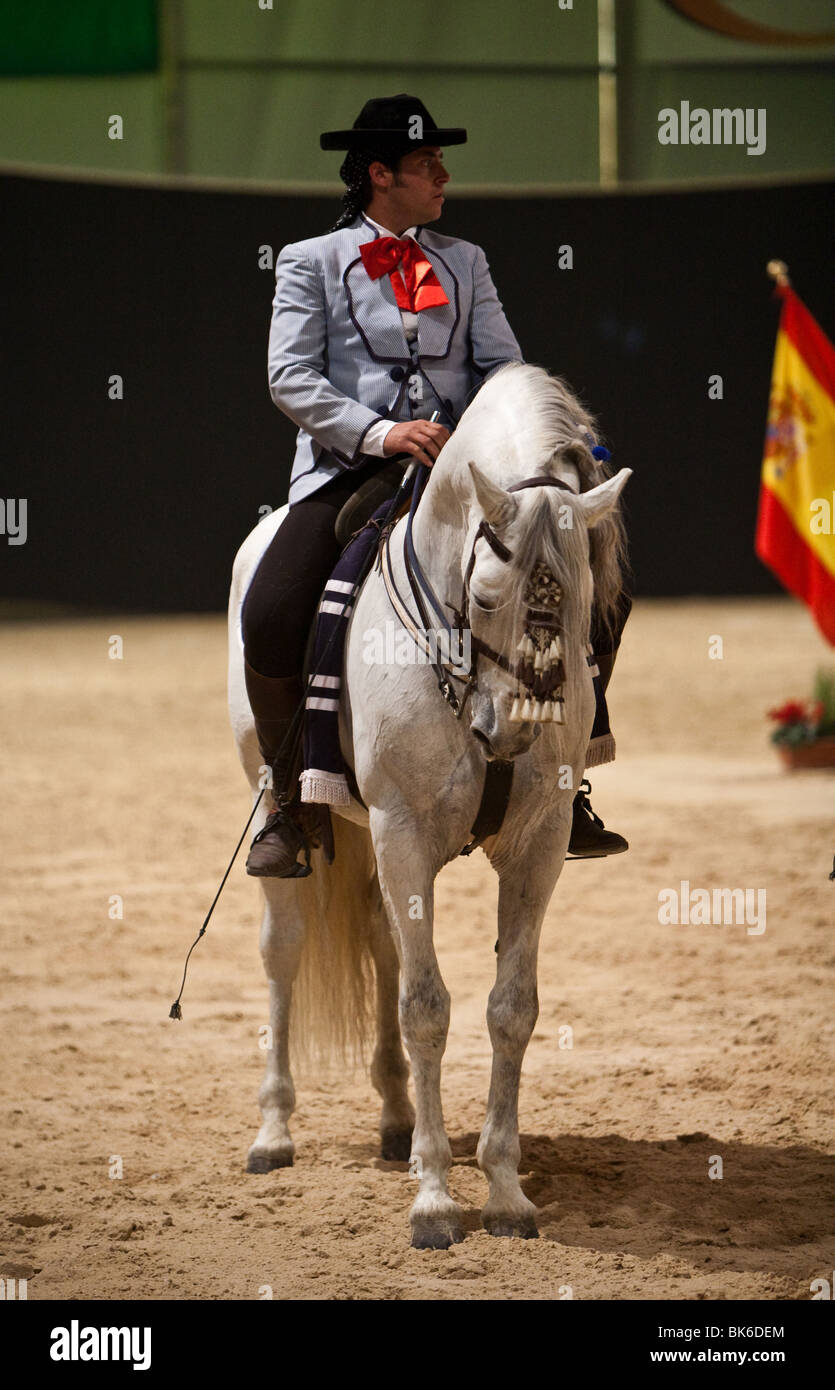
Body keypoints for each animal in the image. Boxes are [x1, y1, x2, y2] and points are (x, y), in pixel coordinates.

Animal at [225, 358, 627, 1251]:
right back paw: (273, 1133)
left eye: (584, 595)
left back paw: (395, 1120)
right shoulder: (403, 831)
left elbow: (510, 1008)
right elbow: (426, 1008)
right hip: (281, 802)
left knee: (381, 944)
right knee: (282, 952)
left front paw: (504, 1192)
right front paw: (437, 1201)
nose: (512, 729)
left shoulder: (537, 842)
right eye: (485, 597)